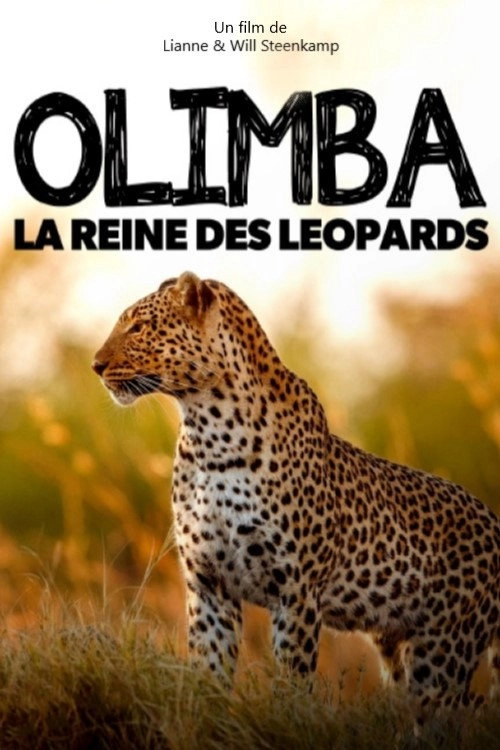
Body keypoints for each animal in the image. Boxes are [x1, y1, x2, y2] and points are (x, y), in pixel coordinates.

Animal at [93, 271, 499, 730]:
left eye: (139, 327)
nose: (96, 365)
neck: (208, 432)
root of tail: (494, 522)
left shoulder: (297, 591)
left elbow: (292, 680)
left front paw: (286, 724)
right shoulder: (209, 585)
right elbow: (209, 674)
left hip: (444, 651)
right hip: (398, 646)